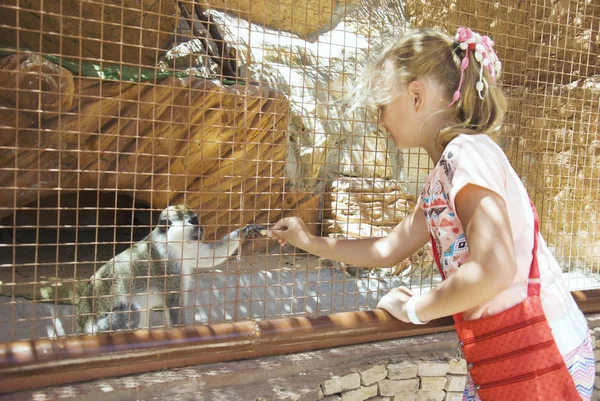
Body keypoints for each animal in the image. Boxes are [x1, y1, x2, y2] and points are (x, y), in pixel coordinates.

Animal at [74, 205, 262, 332]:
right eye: (193, 221)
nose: (202, 228)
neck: (172, 244)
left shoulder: (188, 249)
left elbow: (210, 255)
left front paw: (245, 231)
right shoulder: (167, 267)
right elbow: (174, 302)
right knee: (133, 312)